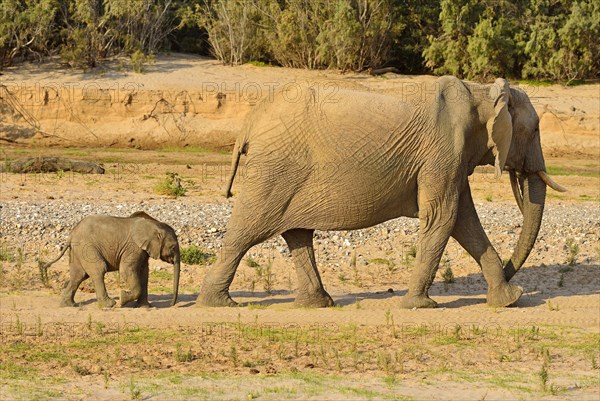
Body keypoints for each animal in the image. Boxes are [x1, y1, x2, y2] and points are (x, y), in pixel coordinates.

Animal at [43, 211, 179, 308]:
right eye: (173, 248)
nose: (172, 305)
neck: (154, 225)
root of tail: (71, 234)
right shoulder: (133, 247)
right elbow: (126, 270)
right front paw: (122, 298)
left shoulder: (143, 250)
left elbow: (144, 273)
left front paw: (145, 307)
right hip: (87, 248)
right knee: (98, 269)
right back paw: (110, 304)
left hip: (78, 251)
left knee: (79, 275)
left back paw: (69, 305)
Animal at [198, 78, 568, 310]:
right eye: (535, 129)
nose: (511, 270)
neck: (482, 92)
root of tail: (250, 122)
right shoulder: (443, 150)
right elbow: (443, 217)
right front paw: (419, 306)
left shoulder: (450, 158)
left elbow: (464, 221)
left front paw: (510, 299)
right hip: (274, 170)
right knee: (246, 231)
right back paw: (218, 303)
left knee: (297, 233)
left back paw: (317, 304)